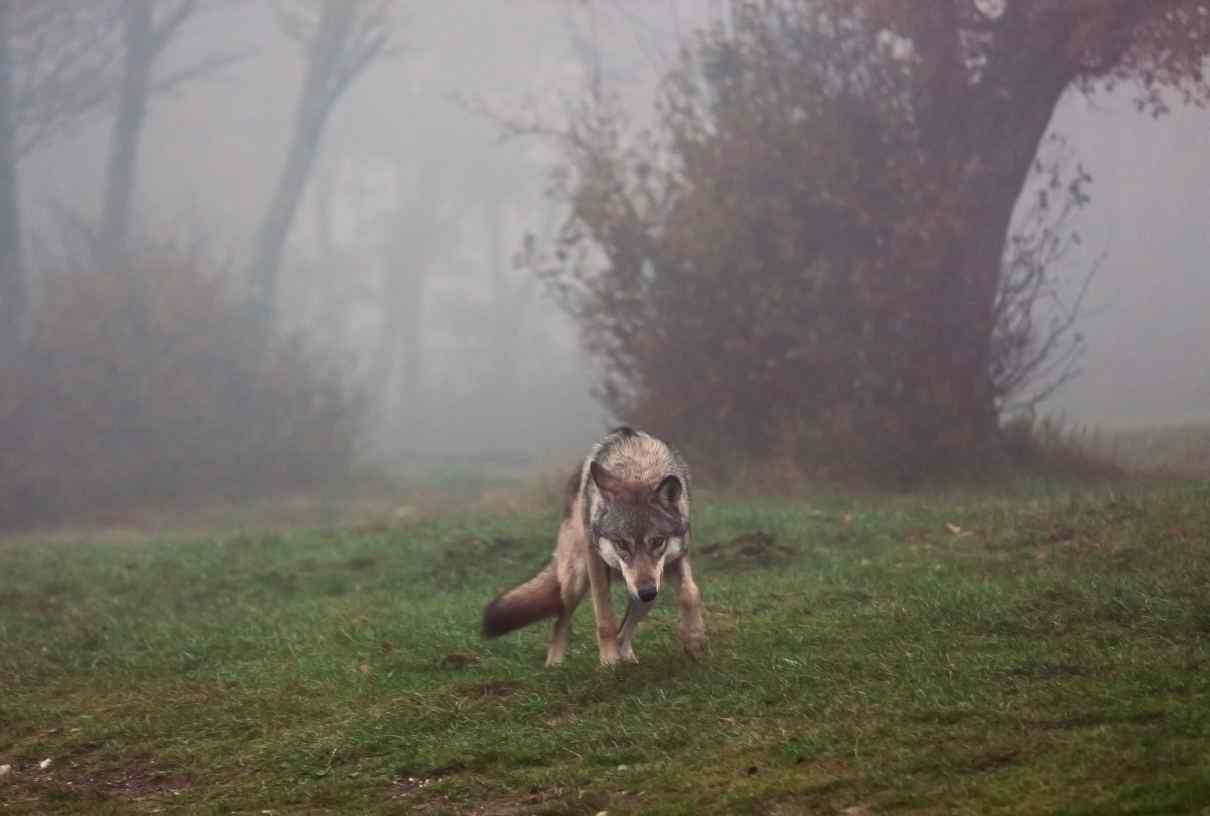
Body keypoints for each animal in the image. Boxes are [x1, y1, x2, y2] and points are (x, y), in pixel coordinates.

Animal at [479, 423, 706, 663]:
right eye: (621, 543)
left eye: (657, 541)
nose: (646, 591)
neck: (637, 468)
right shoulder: (596, 565)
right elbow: (605, 618)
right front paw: (609, 662)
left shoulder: (673, 561)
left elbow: (691, 592)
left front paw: (694, 640)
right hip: (577, 579)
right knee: (561, 620)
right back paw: (555, 664)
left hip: (649, 589)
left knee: (624, 631)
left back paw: (630, 660)